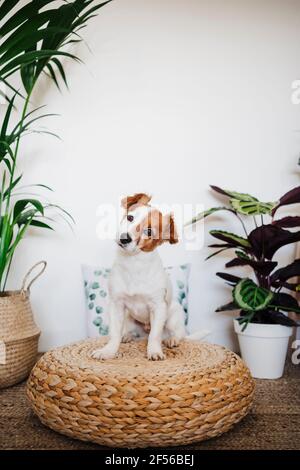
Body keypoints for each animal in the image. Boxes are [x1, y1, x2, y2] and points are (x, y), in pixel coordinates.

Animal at [91, 193, 209, 362]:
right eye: (130, 217)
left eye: (148, 232)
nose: (125, 238)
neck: (133, 263)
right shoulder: (116, 305)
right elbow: (114, 334)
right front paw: (108, 351)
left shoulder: (158, 308)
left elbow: (155, 336)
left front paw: (154, 351)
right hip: (128, 317)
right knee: (128, 332)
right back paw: (127, 336)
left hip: (173, 316)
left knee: (178, 334)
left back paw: (172, 340)